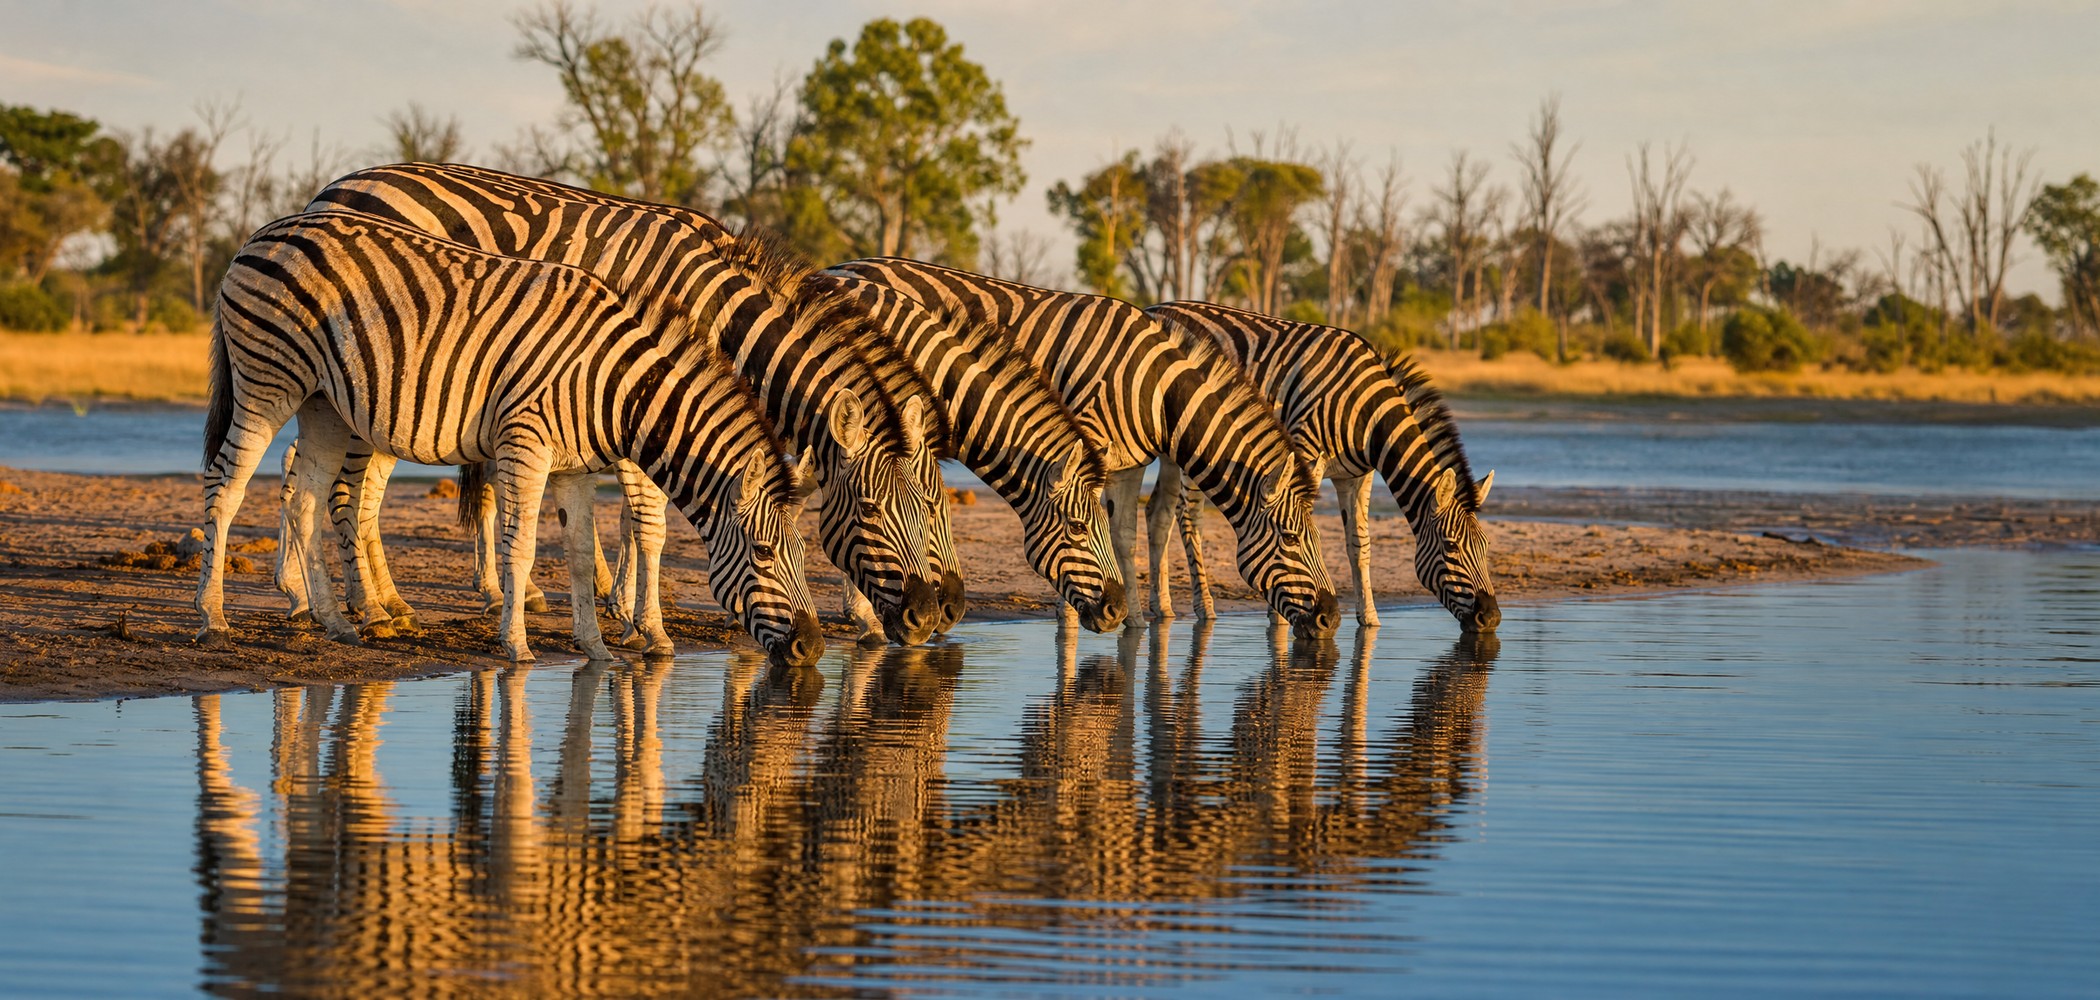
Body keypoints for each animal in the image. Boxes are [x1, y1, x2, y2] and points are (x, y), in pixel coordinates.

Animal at [198, 210, 824, 665]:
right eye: (765, 553)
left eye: (803, 554)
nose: (813, 646)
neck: (613, 384)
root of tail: (264, 230)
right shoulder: (527, 442)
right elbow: (521, 547)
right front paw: (518, 645)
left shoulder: (574, 467)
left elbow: (577, 553)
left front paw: (595, 648)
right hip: (268, 382)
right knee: (224, 485)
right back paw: (214, 619)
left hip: (324, 405)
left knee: (303, 497)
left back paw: (333, 621)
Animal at [302, 162, 951, 646]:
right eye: (870, 510)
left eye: (933, 508)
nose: (928, 618)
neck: (716, 309)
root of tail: (332, 187)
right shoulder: (649, 389)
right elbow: (648, 522)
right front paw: (645, 626)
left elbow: (628, 518)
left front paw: (621, 609)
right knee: (343, 488)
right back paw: (366, 607)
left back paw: (352, 600)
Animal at [1144, 301, 1501, 632]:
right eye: (1451, 546)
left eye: (1485, 546)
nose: (1492, 618)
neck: (1367, 412)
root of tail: (1156, 307)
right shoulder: (1301, 448)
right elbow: (1294, 522)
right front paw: (1280, 618)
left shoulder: (1357, 476)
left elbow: (1359, 544)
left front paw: (1369, 618)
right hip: (1197, 438)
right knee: (1189, 519)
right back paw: (1205, 608)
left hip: (1171, 449)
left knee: (1157, 514)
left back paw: (1162, 608)